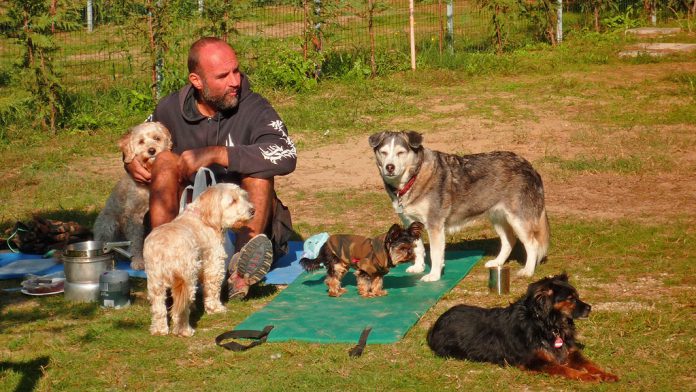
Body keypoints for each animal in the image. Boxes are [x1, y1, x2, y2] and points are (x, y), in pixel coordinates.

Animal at [93, 122, 172, 270]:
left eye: (157, 138)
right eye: (141, 141)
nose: (152, 150)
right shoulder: (134, 217)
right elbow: (135, 241)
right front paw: (138, 261)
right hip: (108, 225)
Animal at [144, 184, 256, 336]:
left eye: (244, 196)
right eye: (233, 201)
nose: (252, 210)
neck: (202, 216)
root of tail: (164, 249)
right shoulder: (214, 264)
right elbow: (213, 289)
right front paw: (216, 308)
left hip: (156, 283)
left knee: (158, 308)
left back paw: (159, 330)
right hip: (186, 280)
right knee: (180, 310)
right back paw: (184, 330)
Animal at [370, 132, 548, 282]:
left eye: (400, 153)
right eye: (383, 152)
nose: (390, 167)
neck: (414, 177)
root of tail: (529, 165)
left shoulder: (435, 225)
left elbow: (435, 254)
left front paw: (434, 275)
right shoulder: (411, 223)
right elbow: (418, 248)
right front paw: (418, 267)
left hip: (518, 219)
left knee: (532, 245)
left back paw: (528, 271)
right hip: (498, 217)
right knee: (509, 240)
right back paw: (497, 262)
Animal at [426, 274, 616, 382]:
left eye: (577, 296)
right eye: (571, 299)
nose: (590, 308)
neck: (547, 324)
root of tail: (436, 324)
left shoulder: (569, 352)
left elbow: (589, 363)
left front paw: (606, 374)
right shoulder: (534, 361)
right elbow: (565, 369)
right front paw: (588, 377)